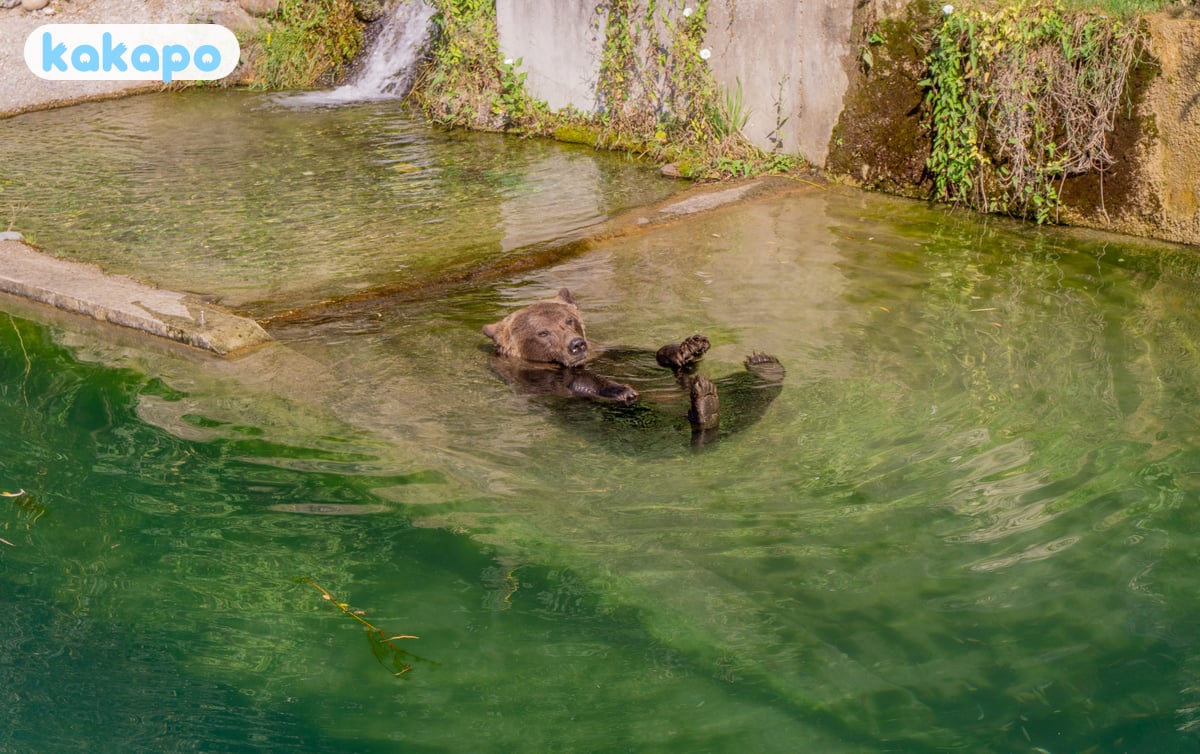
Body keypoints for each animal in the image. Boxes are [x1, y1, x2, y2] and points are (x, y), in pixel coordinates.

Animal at [482, 288, 784, 449]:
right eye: (543, 332)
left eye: (568, 320)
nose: (576, 344)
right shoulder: (531, 377)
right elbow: (571, 383)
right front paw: (622, 389)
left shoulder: (608, 350)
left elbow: (653, 359)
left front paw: (688, 347)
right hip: (627, 421)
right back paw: (705, 408)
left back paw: (763, 368)